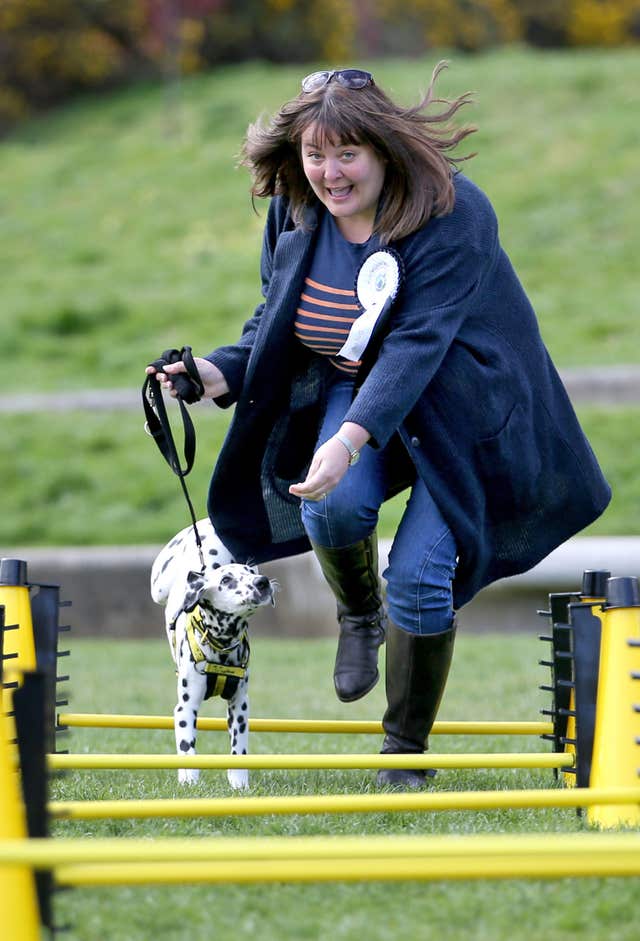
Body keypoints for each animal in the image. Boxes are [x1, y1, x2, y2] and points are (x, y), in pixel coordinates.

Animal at [154, 516, 276, 788]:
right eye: (226, 580)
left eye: (250, 573)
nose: (262, 582)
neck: (222, 643)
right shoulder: (185, 708)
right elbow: (187, 749)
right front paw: (189, 782)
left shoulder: (239, 705)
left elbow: (238, 750)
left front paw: (239, 784)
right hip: (157, 586)